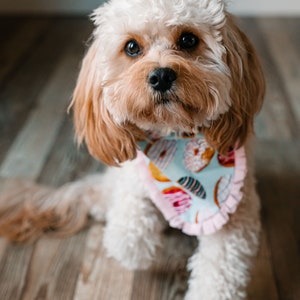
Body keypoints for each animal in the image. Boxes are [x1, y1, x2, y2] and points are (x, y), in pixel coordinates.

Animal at [0, 1, 264, 298]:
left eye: (188, 40)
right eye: (131, 47)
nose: (161, 75)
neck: (174, 133)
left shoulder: (237, 214)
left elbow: (221, 270)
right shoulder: (135, 179)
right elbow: (129, 237)